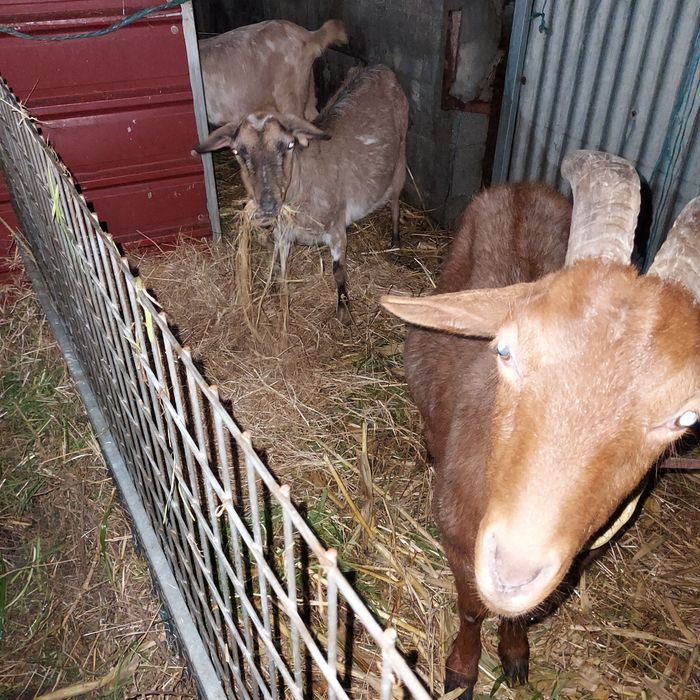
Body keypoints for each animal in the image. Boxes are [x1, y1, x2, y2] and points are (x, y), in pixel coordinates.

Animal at [196, 65, 408, 322]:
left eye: (289, 145)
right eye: (237, 151)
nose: (268, 204)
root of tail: (378, 68)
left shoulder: (336, 228)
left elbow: (338, 272)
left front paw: (344, 311)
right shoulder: (283, 234)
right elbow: (279, 269)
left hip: (400, 159)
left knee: (395, 203)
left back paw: (395, 242)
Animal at [381, 151, 700, 698]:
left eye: (686, 415)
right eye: (505, 350)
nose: (513, 568)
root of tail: (525, 188)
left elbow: (521, 615)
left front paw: (514, 657)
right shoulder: (456, 534)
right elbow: (471, 609)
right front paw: (462, 670)